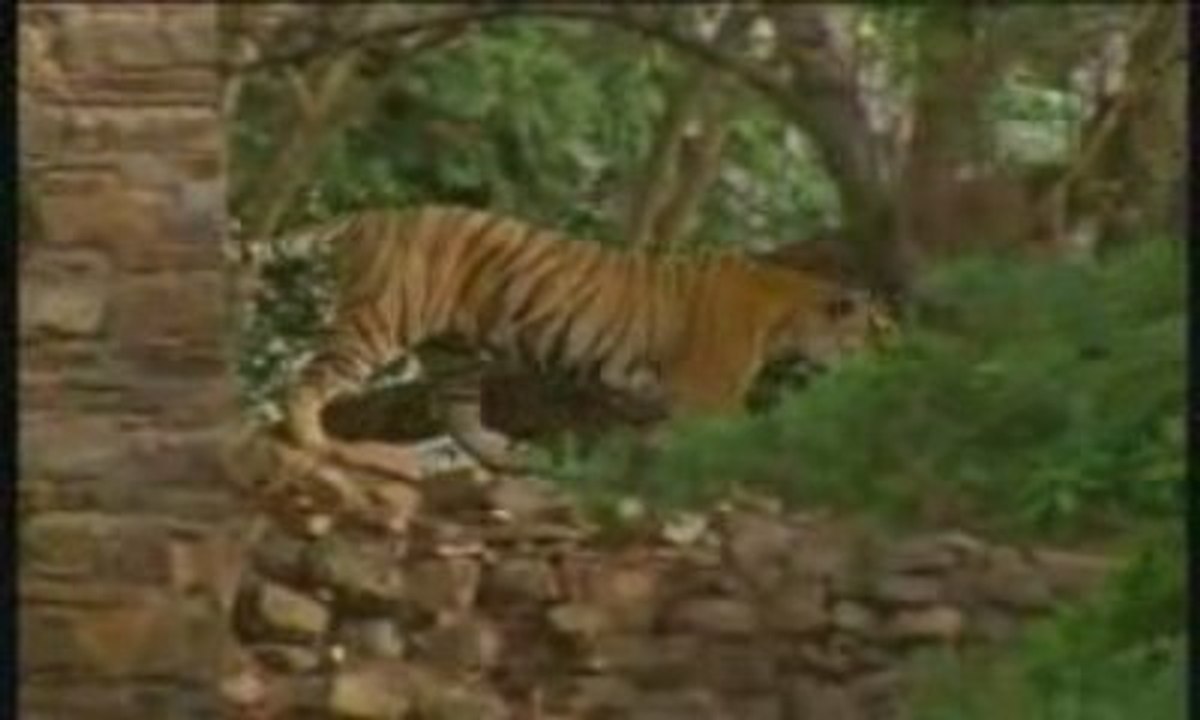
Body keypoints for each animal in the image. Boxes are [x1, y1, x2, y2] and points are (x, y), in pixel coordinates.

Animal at [273, 205, 894, 473]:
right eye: (878, 334)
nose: (891, 363)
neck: (790, 310)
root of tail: (379, 213)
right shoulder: (711, 398)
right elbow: (751, 435)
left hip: (455, 354)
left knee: (460, 415)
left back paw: (507, 457)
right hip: (380, 320)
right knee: (309, 376)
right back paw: (311, 440)